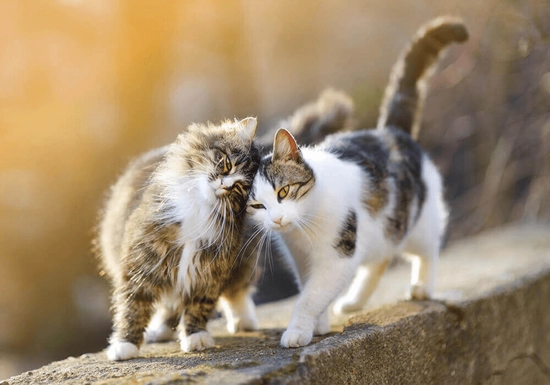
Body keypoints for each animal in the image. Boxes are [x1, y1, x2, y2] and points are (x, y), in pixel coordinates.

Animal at [97, 118, 264, 360]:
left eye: (239, 188)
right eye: (227, 163)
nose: (224, 185)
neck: (199, 208)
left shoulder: (210, 269)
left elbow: (199, 306)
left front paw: (195, 336)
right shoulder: (143, 263)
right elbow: (133, 307)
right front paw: (125, 344)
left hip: (244, 260)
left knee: (237, 291)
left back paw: (243, 320)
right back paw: (160, 330)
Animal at [249, 17, 470, 348]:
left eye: (283, 191)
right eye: (257, 205)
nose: (276, 220)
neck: (304, 229)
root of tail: (390, 131)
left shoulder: (337, 257)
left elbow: (310, 297)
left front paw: (298, 331)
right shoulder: (302, 259)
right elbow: (310, 290)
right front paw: (319, 324)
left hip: (419, 220)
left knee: (427, 250)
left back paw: (421, 286)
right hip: (380, 231)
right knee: (380, 260)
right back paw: (354, 301)